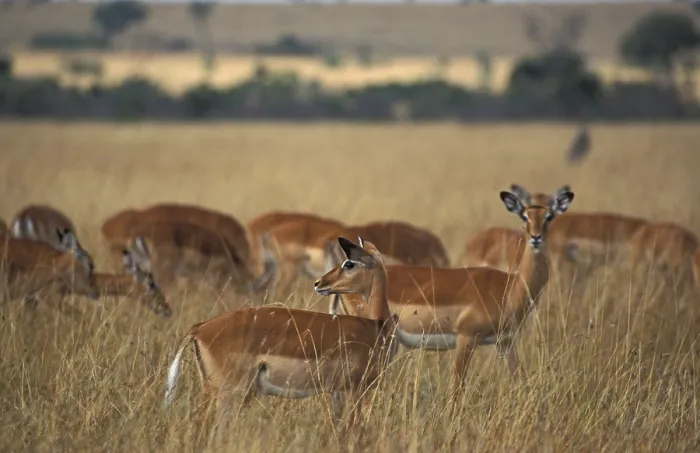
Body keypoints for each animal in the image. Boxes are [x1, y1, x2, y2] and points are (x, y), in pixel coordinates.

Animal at [164, 236, 398, 430]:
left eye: (349, 263)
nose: (319, 283)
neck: (376, 328)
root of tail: (200, 328)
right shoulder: (355, 389)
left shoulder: (337, 392)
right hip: (229, 394)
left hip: (215, 391)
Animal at [330, 189, 575, 397]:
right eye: (524, 216)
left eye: (549, 216)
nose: (535, 237)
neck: (511, 286)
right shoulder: (466, 339)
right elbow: (456, 389)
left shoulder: (505, 343)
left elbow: (520, 380)